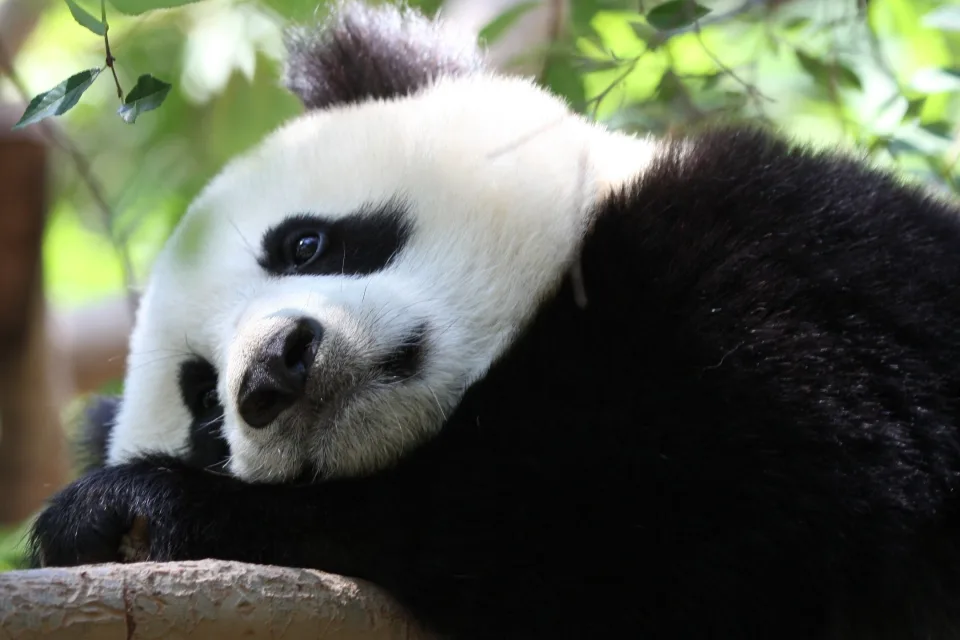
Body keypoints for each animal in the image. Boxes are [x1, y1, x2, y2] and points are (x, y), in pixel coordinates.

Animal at [29, 1, 960, 638]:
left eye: (304, 242)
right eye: (203, 407)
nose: (273, 369)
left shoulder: (790, 276)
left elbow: (613, 519)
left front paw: (132, 507)